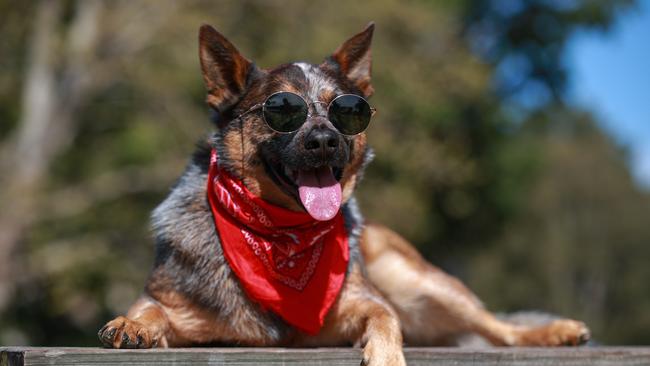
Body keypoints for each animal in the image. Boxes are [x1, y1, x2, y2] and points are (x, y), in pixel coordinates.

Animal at [98, 23, 588, 366]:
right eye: (282, 109)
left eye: (349, 110)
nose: (324, 141)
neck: (280, 237)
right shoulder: (170, 302)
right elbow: (150, 310)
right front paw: (132, 324)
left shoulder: (365, 302)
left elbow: (385, 318)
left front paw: (386, 355)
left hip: (417, 279)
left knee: (497, 327)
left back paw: (555, 332)